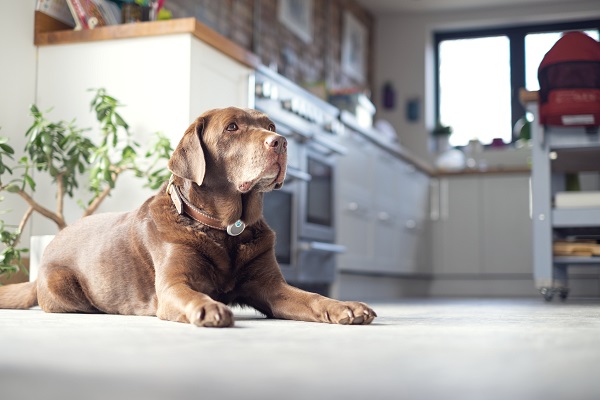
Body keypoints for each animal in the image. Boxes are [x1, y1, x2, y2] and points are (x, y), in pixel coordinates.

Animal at [0, 108, 376, 326]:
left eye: (270, 125)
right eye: (232, 128)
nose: (281, 141)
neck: (227, 229)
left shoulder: (271, 287)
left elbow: (311, 297)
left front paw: (344, 306)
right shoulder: (173, 285)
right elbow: (191, 294)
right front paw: (209, 308)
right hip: (63, 288)